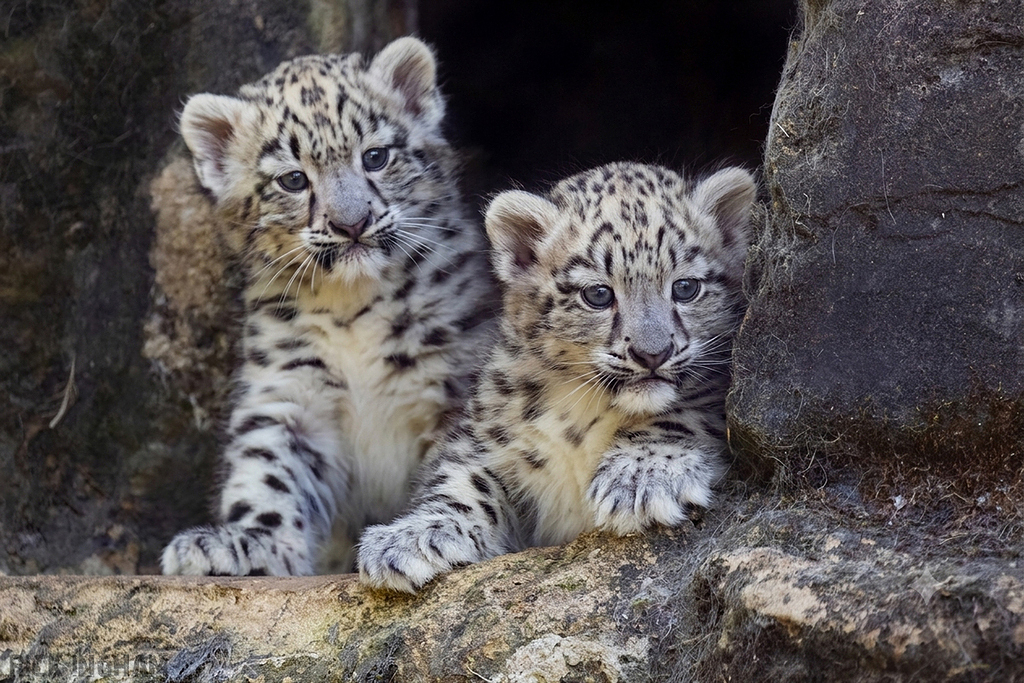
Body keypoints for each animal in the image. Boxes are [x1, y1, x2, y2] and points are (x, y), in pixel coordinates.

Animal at [160, 37, 496, 576]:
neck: (353, 310)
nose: (351, 223)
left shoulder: (455, 382)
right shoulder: (288, 388)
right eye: (293, 180)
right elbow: (268, 469)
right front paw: (246, 543)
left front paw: (421, 540)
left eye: (376, 156)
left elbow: (463, 464)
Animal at [357, 161, 755, 592]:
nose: (652, 353)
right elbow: (463, 481)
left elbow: (689, 414)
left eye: (685, 287)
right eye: (598, 294)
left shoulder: (716, 389)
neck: (585, 416)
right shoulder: (485, 436)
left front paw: (641, 477)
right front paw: (407, 540)